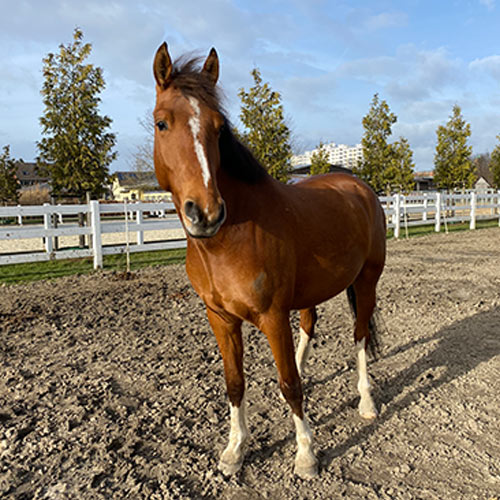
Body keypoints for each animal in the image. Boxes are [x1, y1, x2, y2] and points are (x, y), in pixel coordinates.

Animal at [152, 42, 386, 476]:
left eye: (218, 129)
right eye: (162, 123)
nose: (205, 213)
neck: (229, 239)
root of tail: (356, 183)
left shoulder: (273, 316)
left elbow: (290, 385)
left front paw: (306, 455)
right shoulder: (220, 318)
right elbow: (235, 383)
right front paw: (234, 451)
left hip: (366, 282)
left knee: (360, 336)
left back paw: (366, 401)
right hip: (314, 289)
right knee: (310, 325)